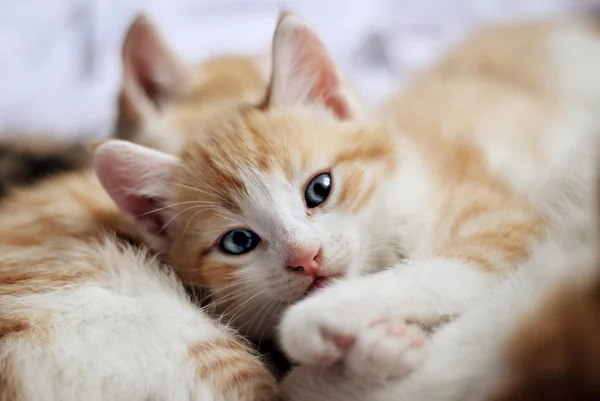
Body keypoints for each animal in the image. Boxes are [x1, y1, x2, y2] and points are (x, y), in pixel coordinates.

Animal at [94, 10, 600, 384]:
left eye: (319, 188)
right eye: (238, 241)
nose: (306, 257)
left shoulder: (505, 220)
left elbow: (445, 269)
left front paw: (320, 318)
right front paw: (382, 347)